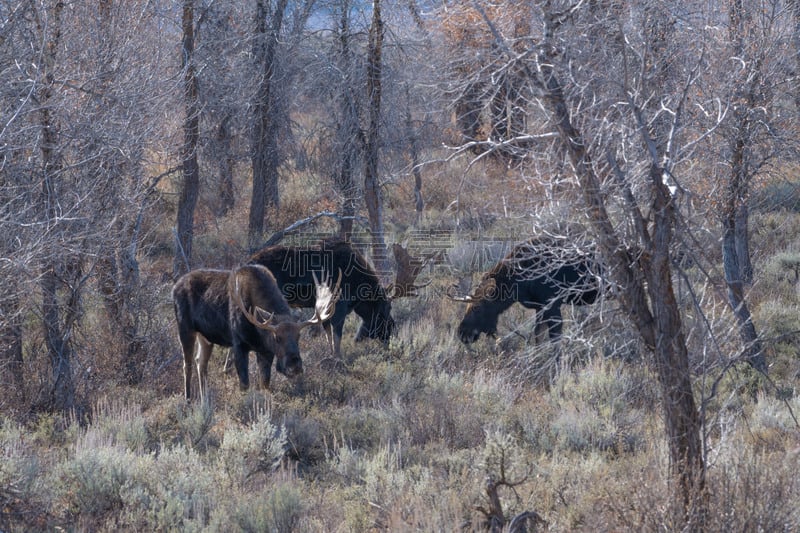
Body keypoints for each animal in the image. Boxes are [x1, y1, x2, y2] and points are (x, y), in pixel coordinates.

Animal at [173, 262, 340, 400]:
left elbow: (265, 384)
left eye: (298, 336)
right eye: (276, 337)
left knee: (200, 362)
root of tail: (174, 288)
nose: (295, 366)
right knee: (187, 365)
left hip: (206, 337)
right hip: (185, 329)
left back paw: (205, 400)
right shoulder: (238, 345)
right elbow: (244, 385)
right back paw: (188, 400)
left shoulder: (265, 350)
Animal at [446, 237, 604, 344]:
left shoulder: (553, 304)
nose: (462, 333)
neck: (519, 283)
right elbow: (538, 337)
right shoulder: (540, 308)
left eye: (477, 307)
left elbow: (555, 340)